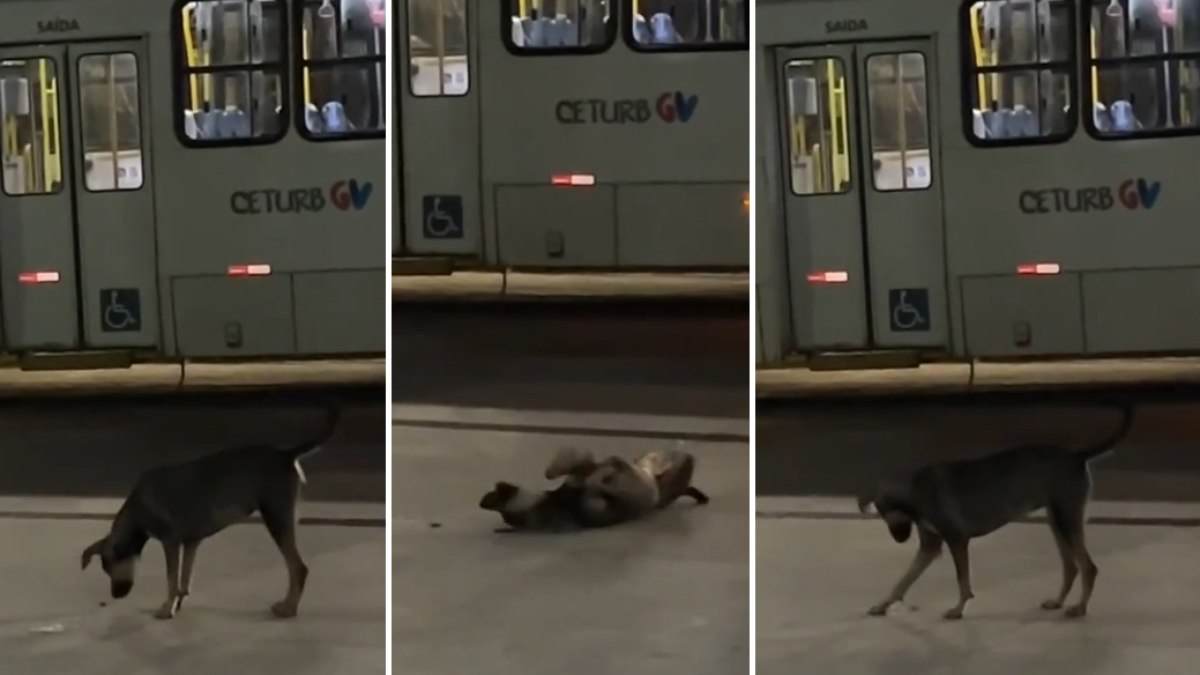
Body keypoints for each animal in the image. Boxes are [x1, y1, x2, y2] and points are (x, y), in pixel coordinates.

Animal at [81, 396, 340, 619]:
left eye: (109, 567)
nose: (116, 595)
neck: (136, 513)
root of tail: (286, 454)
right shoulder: (191, 542)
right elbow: (184, 579)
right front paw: (178, 602)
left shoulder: (170, 542)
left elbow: (171, 579)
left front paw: (167, 607)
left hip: (276, 517)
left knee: (298, 568)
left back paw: (288, 608)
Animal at [859, 401, 1128, 619]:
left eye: (886, 517)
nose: (898, 539)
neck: (914, 491)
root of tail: (1076, 455)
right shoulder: (930, 547)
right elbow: (903, 581)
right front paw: (883, 605)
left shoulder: (957, 539)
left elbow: (962, 581)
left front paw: (958, 609)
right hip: (1057, 521)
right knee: (1071, 567)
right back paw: (1058, 601)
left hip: (1067, 519)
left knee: (1088, 567)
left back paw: (1080, 608)